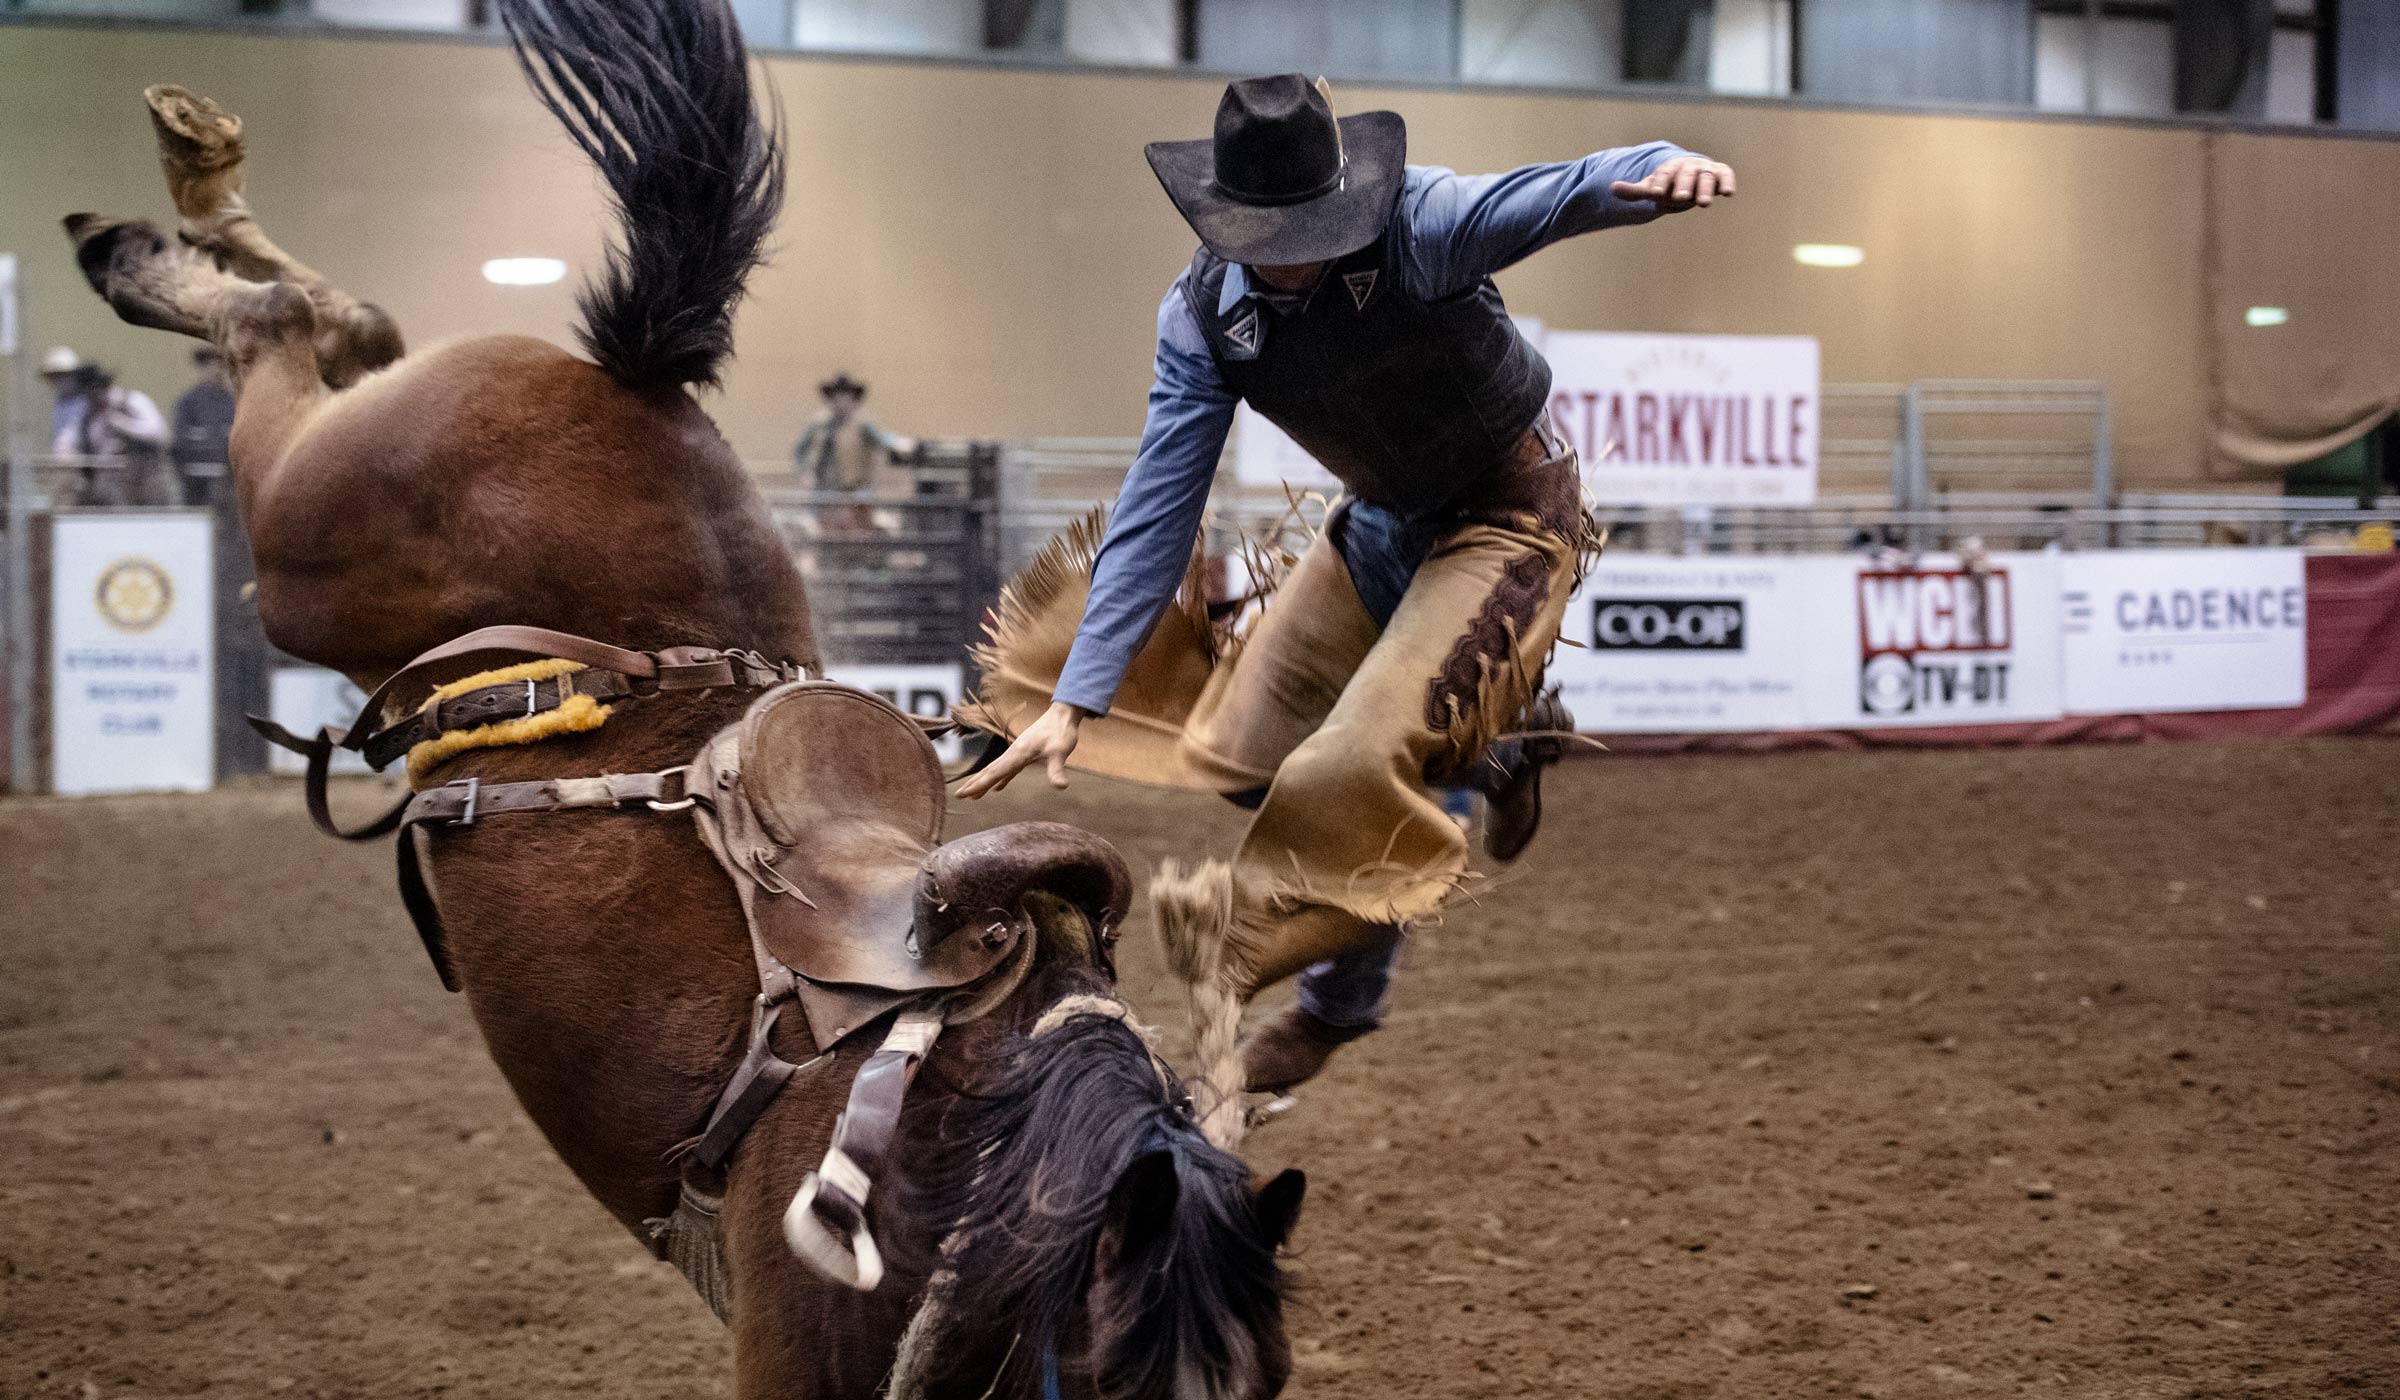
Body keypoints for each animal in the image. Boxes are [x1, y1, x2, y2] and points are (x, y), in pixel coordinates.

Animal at [60, 2, 1296, 1400]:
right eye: (1118, 1375)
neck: (961, 1160)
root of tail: (633, 372)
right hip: (299, 551)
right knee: (274, 325)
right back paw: (157, 220)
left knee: (355, 322)